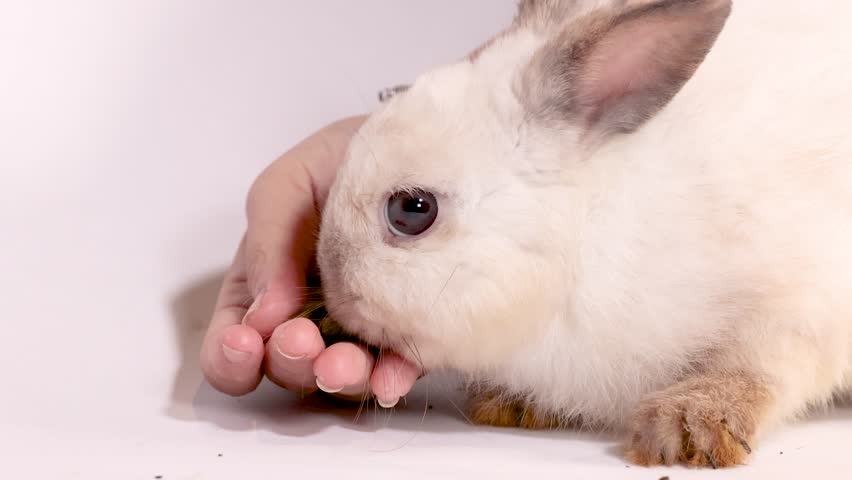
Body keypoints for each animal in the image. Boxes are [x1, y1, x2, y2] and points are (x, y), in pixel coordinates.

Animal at [315, 0, 852, 468]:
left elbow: (753, 371)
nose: (334, 290)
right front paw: (510, 405)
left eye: (411, 210)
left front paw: (682, 429)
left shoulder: (797, 312)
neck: (589, 229)